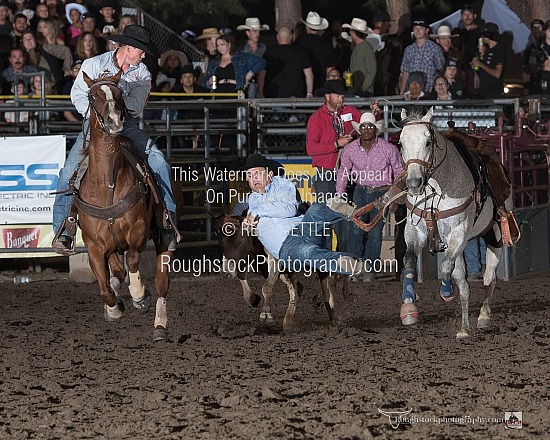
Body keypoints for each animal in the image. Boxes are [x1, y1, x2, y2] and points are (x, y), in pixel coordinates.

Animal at [74, 71, 172, 340]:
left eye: (119, 94)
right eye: (92, 96)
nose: (115, 121)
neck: (107, 183)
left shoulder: (138, 231)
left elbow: (134, 260)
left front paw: (139, 295)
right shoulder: (94, 245)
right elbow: (104, 287)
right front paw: (114, 308)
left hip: (163, 238)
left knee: (162, 283)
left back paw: (160, 326)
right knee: (116, 273)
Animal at [398, 108, 516, 338]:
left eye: (428, 142)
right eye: (400, 143)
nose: (414, 183)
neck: (437, 188)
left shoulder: (459, 232)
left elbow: (445, 267)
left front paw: (446, 291)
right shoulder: (415, 230)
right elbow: (409, 261)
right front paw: (408, 305)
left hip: (494, 234)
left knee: (489, 276)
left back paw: (483, 317)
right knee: (464, 282)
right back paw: (464, 328)